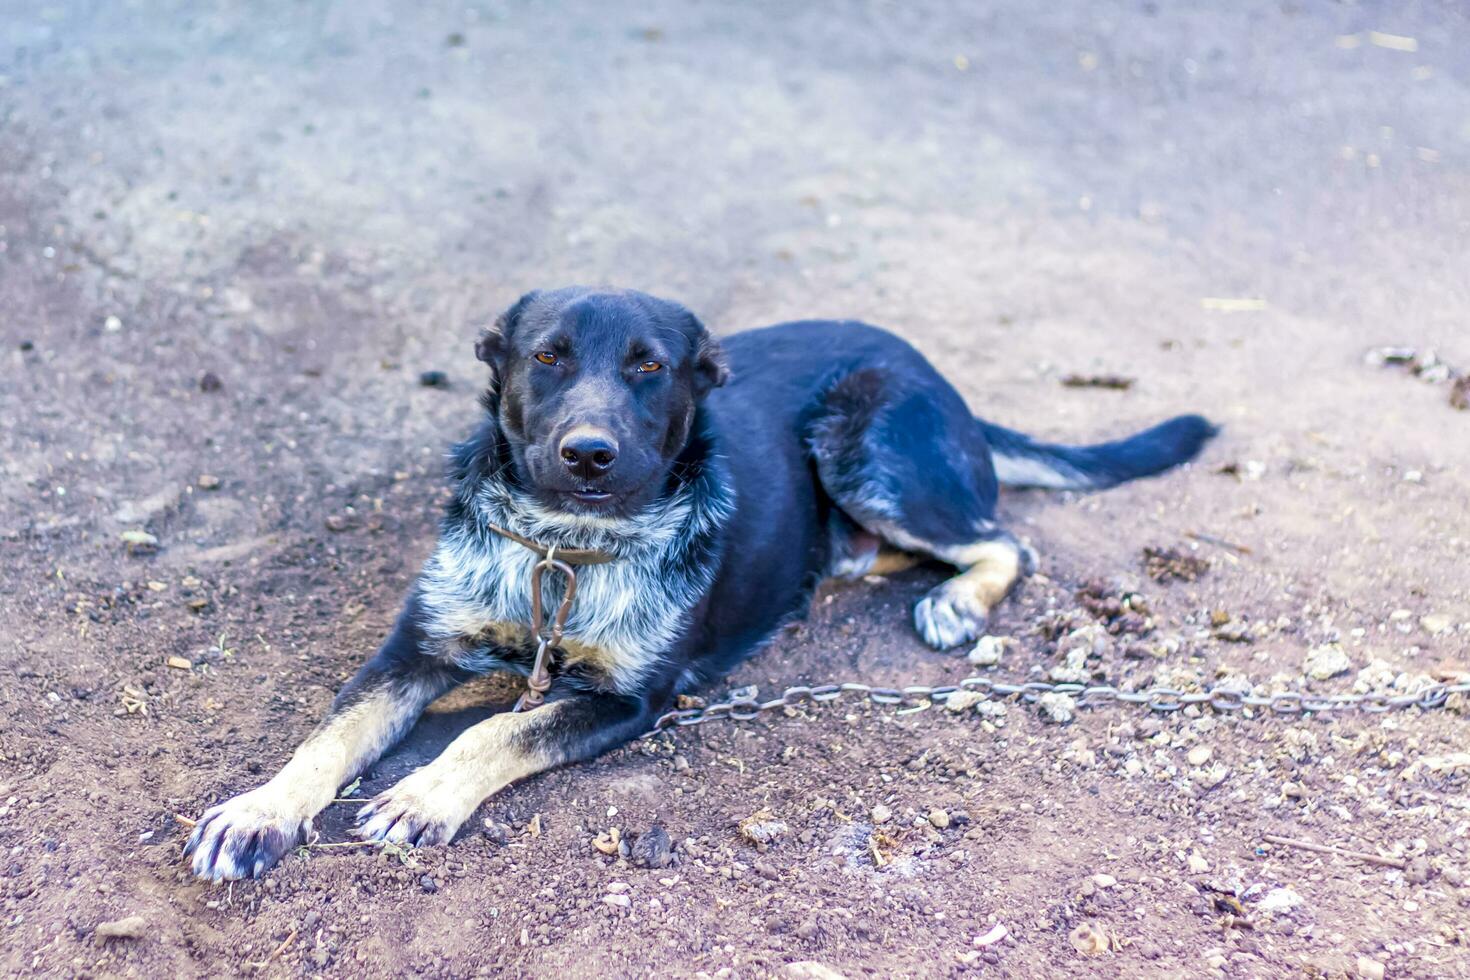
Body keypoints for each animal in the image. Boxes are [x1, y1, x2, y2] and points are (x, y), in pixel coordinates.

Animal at [183, 285, 1217, 881]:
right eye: (546, 358)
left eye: (649, 368)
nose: (588, 455)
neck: (566, 545)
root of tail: (935, 373)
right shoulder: (413, 650)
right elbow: (327, 740)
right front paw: (259, 811)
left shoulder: (629, 699)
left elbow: (496, 728)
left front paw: (423, 792)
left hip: (868, 442)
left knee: (1000, 541)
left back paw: (956, 599)